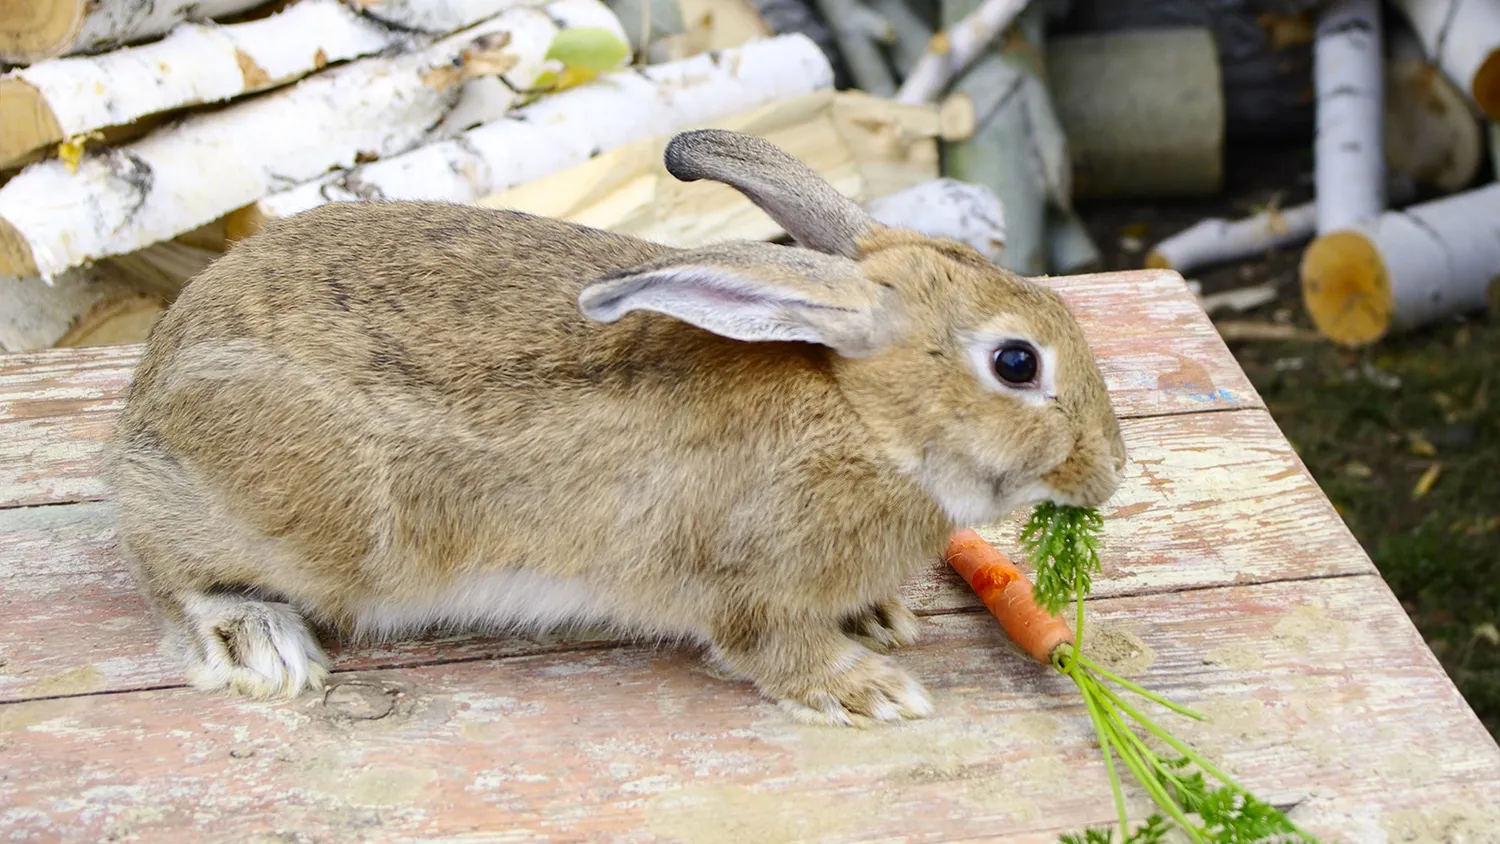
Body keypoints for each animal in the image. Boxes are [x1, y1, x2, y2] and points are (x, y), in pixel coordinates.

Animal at [104, 128, 1128, 727]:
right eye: (1016, 363)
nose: (1109, 472)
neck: (863, 417)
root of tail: (143, 407)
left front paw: (880, 619)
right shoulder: (748, 584)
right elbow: (774, 650)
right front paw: (873, 691)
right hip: (287, 518)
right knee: (166, 566)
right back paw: (262, 644)